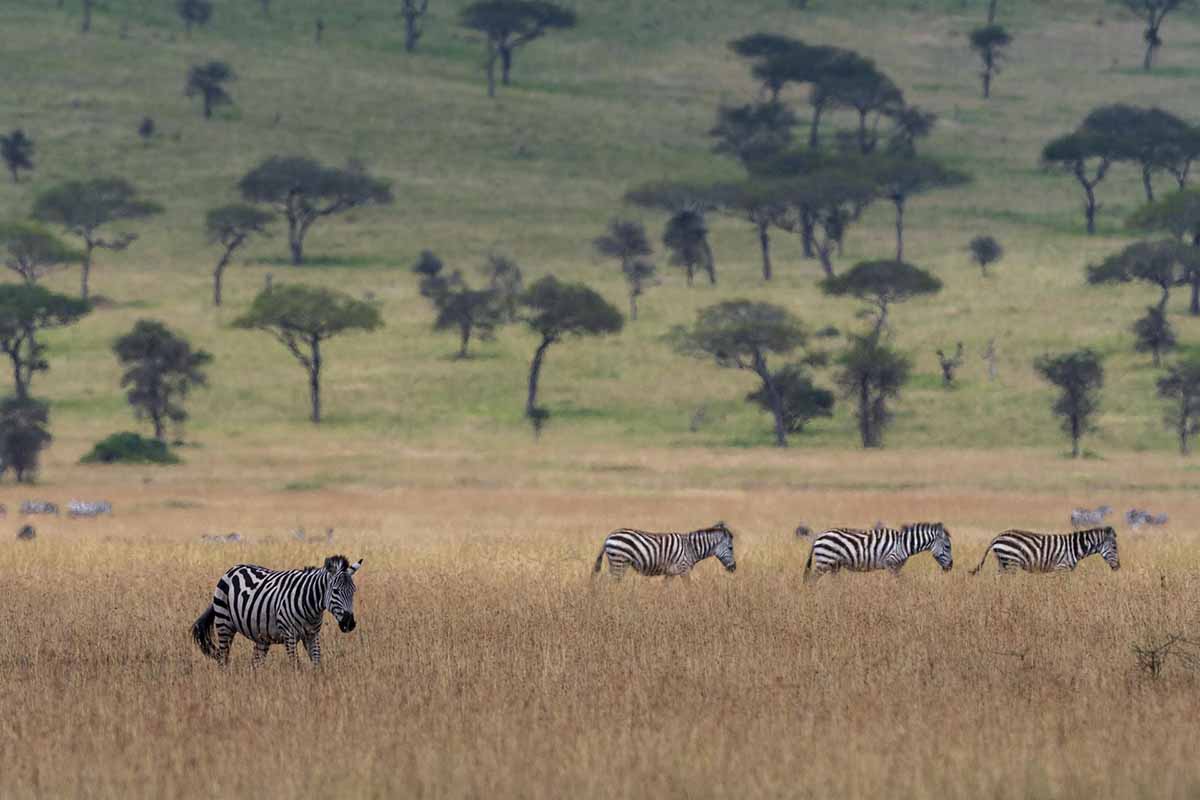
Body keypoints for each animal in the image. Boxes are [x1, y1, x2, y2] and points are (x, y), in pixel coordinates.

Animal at [189, 554, 360, 666]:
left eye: (354, 591)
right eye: (335, 591)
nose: (349, 624)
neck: (311, 606)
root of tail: (232, 569)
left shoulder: (312, 634)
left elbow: (317, 663)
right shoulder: (289, 635)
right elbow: (295, 666)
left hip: (261, 635)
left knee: (256, 663)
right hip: (224, 624)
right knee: (223, 658)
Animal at [592, 522, 734, 578]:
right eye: (731, 548)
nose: (734, 568)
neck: (691, 548)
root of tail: (609, 536)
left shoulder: (670, 573)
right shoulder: (684, 570)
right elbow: (689, 589)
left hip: (617, 562)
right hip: (619, 562)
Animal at [801, 520, 950, 582]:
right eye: (948, 547)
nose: (950, 567)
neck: (904, 545)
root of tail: (819, 536)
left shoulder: (897, 567)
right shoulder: (891, 564)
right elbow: (899, 582)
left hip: (834, 565)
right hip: (824, 562)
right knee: (812, 581)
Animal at [969, 525, 1118, 575]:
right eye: (1115, 547)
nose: (1118, 567)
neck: (1075, 547)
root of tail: (997, 537)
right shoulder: (1061, 568)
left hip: (1003, 562)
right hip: (1011, 562)